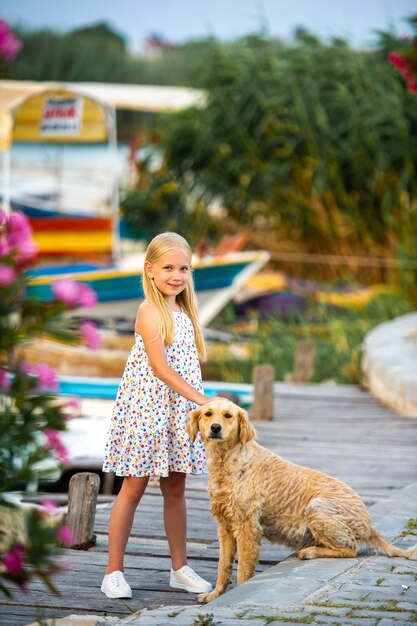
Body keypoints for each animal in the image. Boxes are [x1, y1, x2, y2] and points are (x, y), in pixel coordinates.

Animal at [188, 400, 416, 600]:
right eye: (208, 414)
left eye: (228, 416)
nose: (215, 428)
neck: (229, 461)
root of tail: (370, 526)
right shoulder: (225, 527)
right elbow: (223, 567)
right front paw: (215, 595)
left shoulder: (247, 527)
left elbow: (243, 571)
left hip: (316, 507)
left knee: (350, 550)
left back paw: (310, 552)